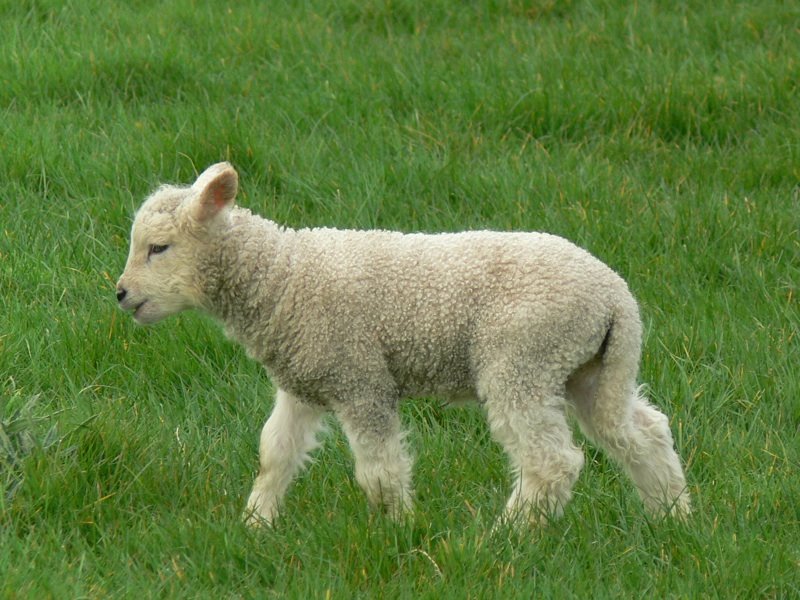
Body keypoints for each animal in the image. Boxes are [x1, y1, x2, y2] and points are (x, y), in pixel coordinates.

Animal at [116, 162, 691, 527]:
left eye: (159, 248)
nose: (120, 294)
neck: (283, 278)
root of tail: (614, 295)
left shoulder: (360, 380)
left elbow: (379, 471)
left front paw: (399, 528)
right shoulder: (305, 381)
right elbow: (274, 453)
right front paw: (256, 523)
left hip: (523, 359)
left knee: (550, 461)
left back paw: (506, 537)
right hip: (592, 367)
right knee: (640, 433)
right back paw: (673, 518)